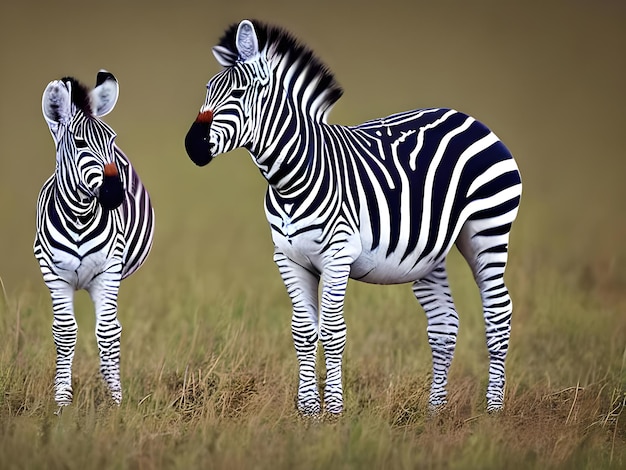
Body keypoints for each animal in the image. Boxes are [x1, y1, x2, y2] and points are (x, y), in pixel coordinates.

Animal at [35, 71, 155, 410]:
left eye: (111, 140)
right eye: (79, 143)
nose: (115, 193)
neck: (79, 216)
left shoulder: (108, 270)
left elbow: (108, 333)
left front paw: (115, 401)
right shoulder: (53, 273)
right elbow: (65, 332)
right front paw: (62, 402)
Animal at [184, 20, 520, 414]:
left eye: (239, 92)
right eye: (208, 90)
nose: (192, 145)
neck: (291, 178)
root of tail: (468, 118)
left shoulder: (338, 255)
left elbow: (331, 329)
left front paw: (333, 410)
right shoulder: (287, 259)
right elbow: (302, 330)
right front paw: (308, 411)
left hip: (488, 227)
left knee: (497, 313)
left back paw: (493, 409)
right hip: (429, 252)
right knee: (444, 324)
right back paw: (435, 411)